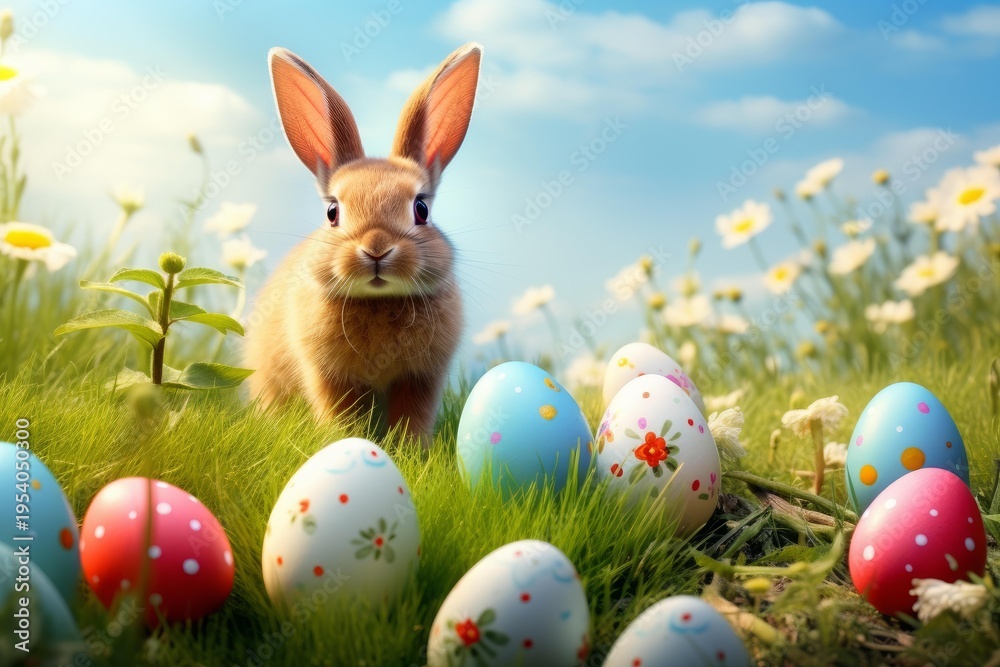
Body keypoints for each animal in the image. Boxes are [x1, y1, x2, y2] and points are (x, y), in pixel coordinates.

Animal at [245, 43, 482, 444]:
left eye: (421, 209)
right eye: (332, 212)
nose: (376, 249)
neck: (378, 300)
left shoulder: (421, 378)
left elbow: (413, 418)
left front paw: (409, 451)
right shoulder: (330, 377)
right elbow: (341, 417)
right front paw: (345, 443)